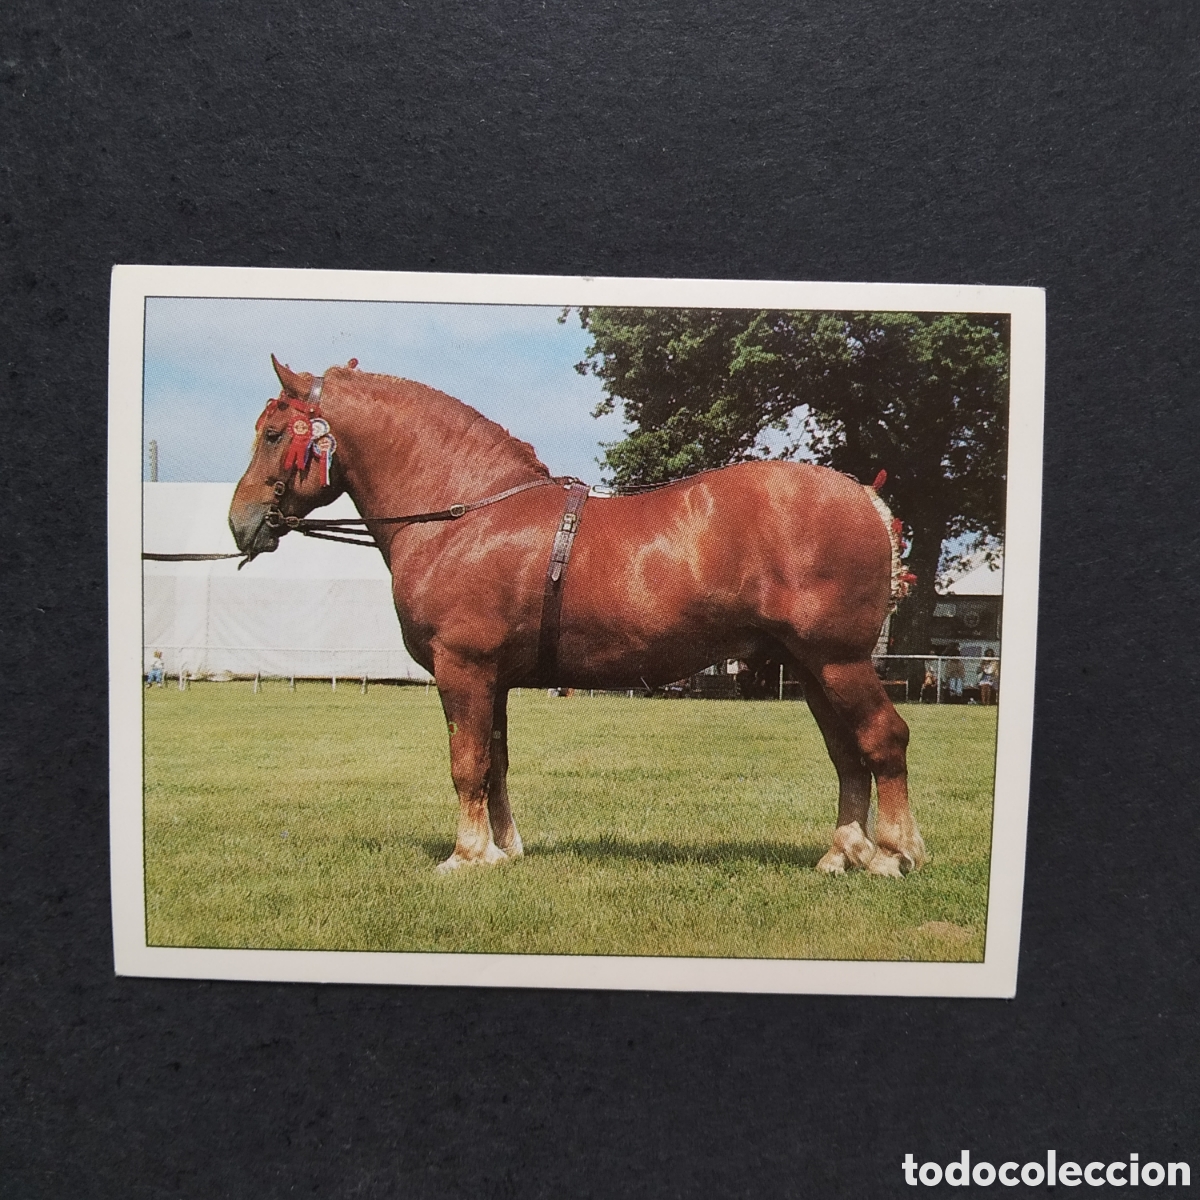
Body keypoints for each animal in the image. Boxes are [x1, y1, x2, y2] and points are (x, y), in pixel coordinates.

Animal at [229, 357, 927, 878]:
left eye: (274, 434)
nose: (240, 525)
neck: (465, 516)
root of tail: (865, 498)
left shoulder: (463, 669)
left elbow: (466, 763)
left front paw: (465, 856)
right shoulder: (492, 679)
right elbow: (495, 762)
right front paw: (503, 851)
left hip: (838, 661)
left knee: (883, 739)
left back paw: (893, 853)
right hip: (810, 668)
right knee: (846, 752)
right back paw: (842, 852)